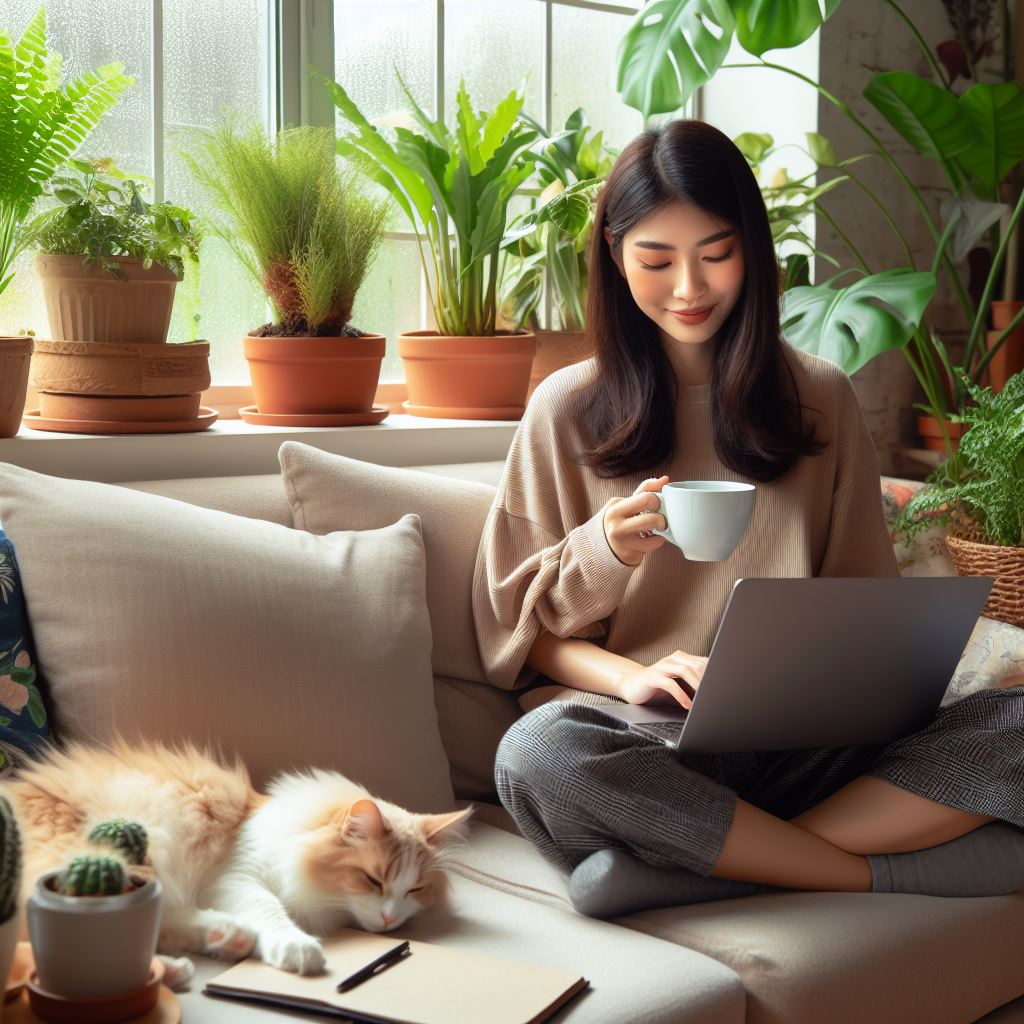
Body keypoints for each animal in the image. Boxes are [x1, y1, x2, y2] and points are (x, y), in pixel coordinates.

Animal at [2, 737, 473, 974]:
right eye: (373, 880)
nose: (391, 920)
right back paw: (172, 970)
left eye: (414, 889)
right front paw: (296, 947)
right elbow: (269, 908)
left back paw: (225, 941)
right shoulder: (235, 875)